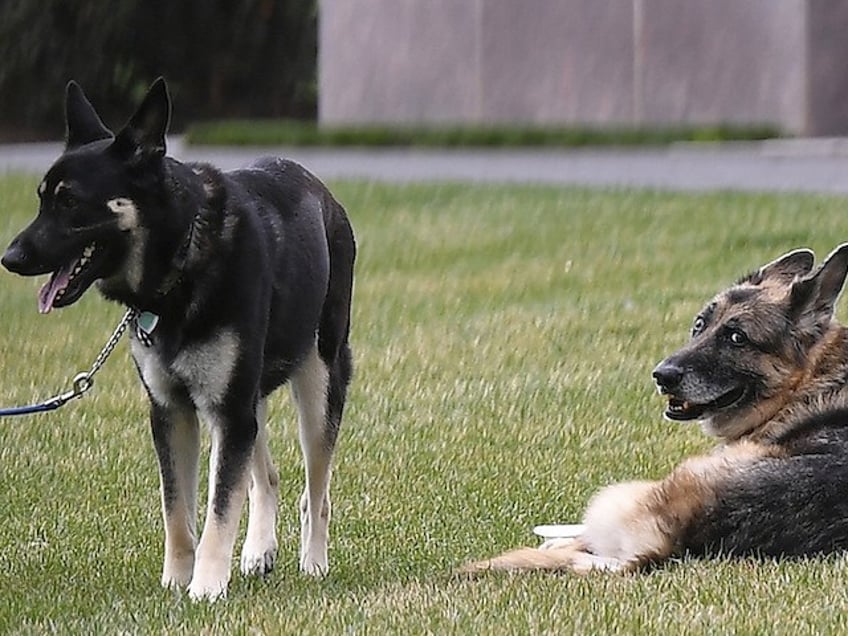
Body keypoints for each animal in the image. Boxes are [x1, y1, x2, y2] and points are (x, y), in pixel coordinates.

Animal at [0, 79, 358, 600]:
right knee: (266, 476)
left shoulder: (227, 412)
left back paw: (314, 563)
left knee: (317, 492)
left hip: (318, 382)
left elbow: (218, 509)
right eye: (42, 199)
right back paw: (259, 550)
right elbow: (178, 512)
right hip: (249, 398)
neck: (183, 257)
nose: (9, 258)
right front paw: (176, 582)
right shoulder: (174, 412)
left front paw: (206, 588)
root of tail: (321, 190)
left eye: (70, 202)